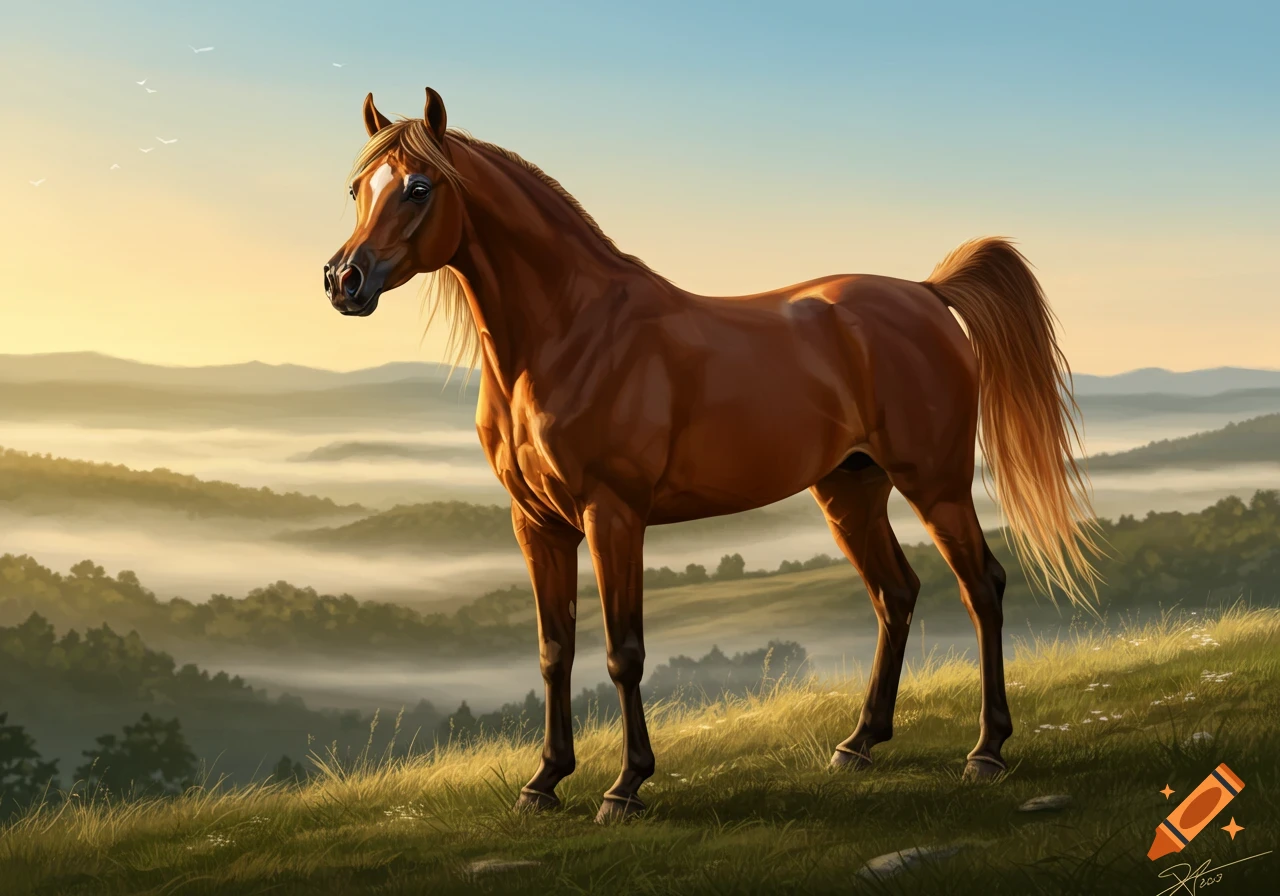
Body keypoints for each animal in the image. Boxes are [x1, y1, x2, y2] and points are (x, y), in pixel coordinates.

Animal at [324, 87, 1104, 823]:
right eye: (359, 188)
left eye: (419, 186)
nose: (343, 281)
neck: (569, 335)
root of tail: (925, 293)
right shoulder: (536, 523)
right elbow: (554, 651)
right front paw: (543, 783)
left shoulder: (613, 515)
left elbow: (623, 652)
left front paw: (626, 788)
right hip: (850, 491)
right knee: (897, 593)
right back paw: (859, 743)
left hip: (935, 484)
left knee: (981, 587)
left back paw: (986, 751)